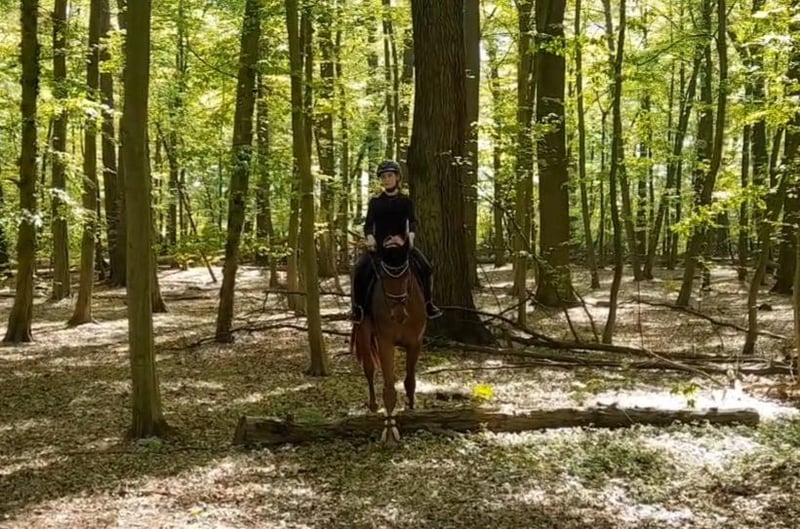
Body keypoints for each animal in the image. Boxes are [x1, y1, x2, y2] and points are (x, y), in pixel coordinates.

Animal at [349, 234, 427, 445]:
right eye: (383, 278)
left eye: (407, 276)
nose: (398, 315)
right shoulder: (385, 343)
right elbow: (390, 388)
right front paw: (391, 432)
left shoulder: (415, 342)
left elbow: (410, 380)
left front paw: (411, 407)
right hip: (364, 329)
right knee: (369, 368)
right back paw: (373, 405)